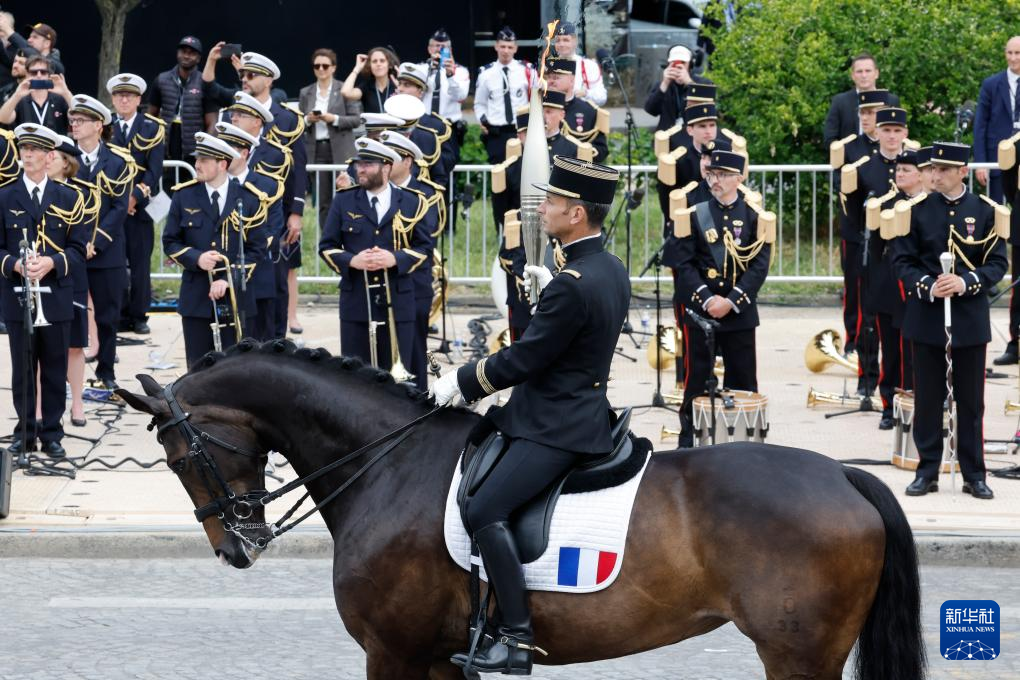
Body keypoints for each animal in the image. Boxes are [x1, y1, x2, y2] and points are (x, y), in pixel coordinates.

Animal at [117, 342, 926, 680]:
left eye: (181, 456)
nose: (237, 544)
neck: (388, 462)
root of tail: (845, 476)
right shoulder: (435, 659)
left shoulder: (394, 653)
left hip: (799, 656)